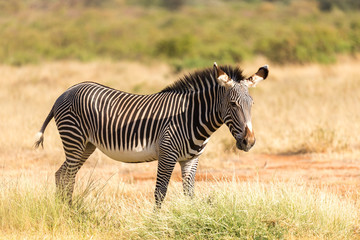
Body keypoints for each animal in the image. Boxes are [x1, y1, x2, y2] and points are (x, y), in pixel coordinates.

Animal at [35, 62, 268, 207]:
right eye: (233, 104)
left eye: (252, 104)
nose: (249, 142)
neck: (191, 116)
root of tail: (65, 92)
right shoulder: (167, 153)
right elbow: (160, 192)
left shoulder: (191, 159)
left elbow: (189, 193)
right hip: (74, 140)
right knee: (67, 176)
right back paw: (67, 213)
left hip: (86, 145)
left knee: (62, 174)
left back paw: (67, 211)